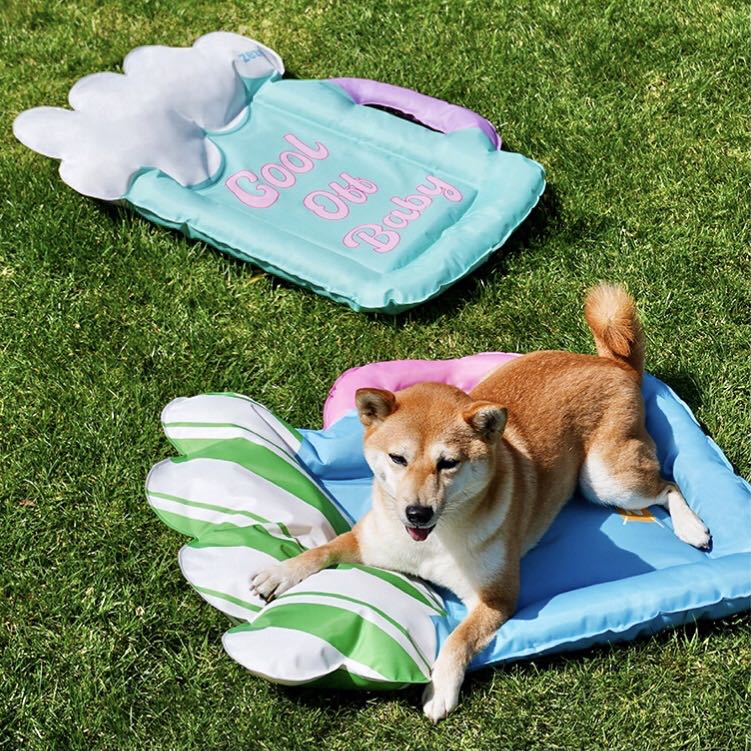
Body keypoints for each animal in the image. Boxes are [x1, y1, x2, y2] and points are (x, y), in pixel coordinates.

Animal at [251, 284, 712, 724]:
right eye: (397, 458)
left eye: (448, 463)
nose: (416, 513)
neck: (434, 542)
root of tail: (615, 365)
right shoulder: (369, 542)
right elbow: (323, 549)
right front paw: (279, 572)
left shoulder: (496, 597)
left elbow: (456, 639)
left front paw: (440, 689)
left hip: (606, 481)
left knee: (668, 484)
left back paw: (691, 527)